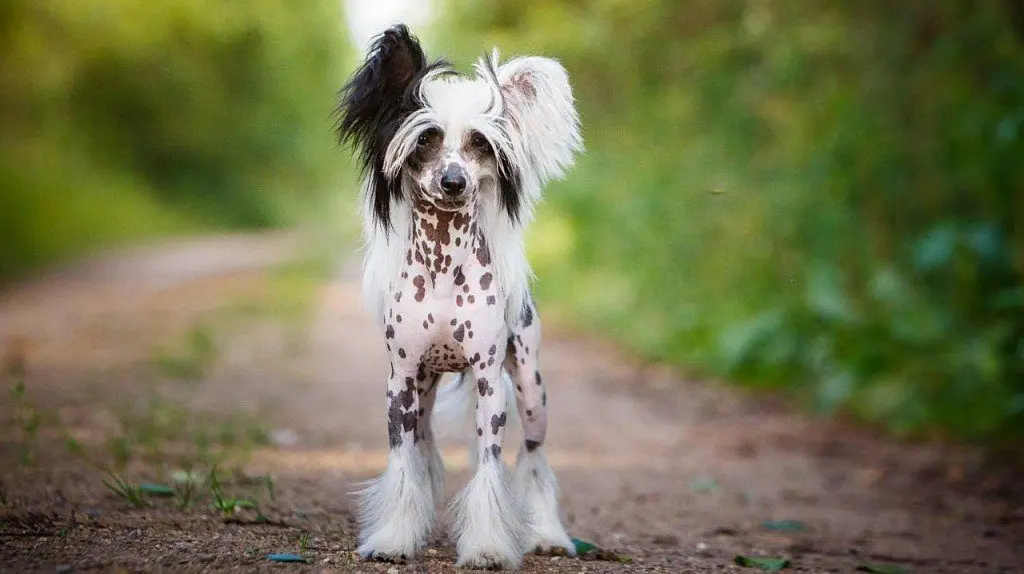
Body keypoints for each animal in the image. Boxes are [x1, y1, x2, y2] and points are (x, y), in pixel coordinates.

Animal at [331, 23, 581, 568]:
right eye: (426, 138)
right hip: (423, 391)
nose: (454, 181)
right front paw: (394, 538)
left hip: (531, 390)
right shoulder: (401, 380)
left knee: (534, 459)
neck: (444, 269)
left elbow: (490, 469)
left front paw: (487, 546)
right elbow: (404, 463)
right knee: (424, 449)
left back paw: (547, 532)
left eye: (479, 143)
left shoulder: (490, 382)